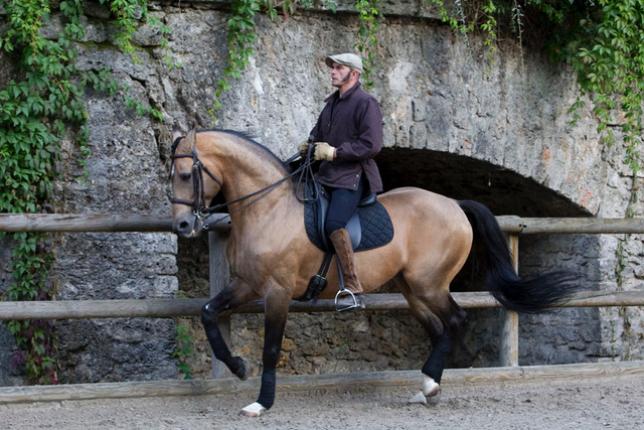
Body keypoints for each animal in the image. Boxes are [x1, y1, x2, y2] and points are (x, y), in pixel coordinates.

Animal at [170, 128, 580, 416]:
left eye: (186, 175)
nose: (183, 225)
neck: (268, 208)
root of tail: (454, 204)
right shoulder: (247, 284)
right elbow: (208, 313)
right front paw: (238, 367)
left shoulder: (277, 292)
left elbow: (271, 348)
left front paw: (261, 403)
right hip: (412, 289)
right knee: (439, 329)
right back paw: (427, 386)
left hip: (429, 284)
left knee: (455, 320)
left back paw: (431, 385)